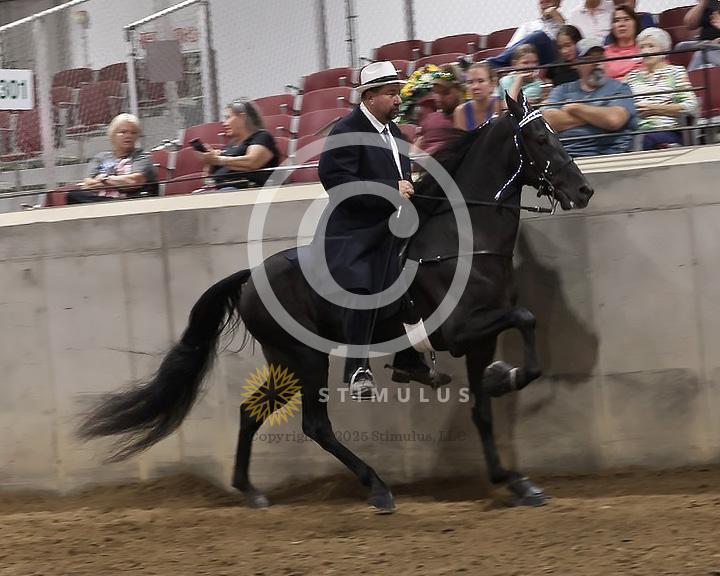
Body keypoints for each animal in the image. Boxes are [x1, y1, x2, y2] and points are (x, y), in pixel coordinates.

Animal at [79, 92, 593, 513]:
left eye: (555, 131)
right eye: (539, 139)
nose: (584, 190)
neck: (464, 243)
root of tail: (249, 278)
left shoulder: (479, 338)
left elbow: (486, 405)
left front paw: (514, 478)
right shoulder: (459, 329)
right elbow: (526, 319)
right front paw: (507, 380)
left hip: (284, 358)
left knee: (253, 411)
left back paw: (250, 490)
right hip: (306, 357)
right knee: (315, 425)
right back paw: (377, 488)